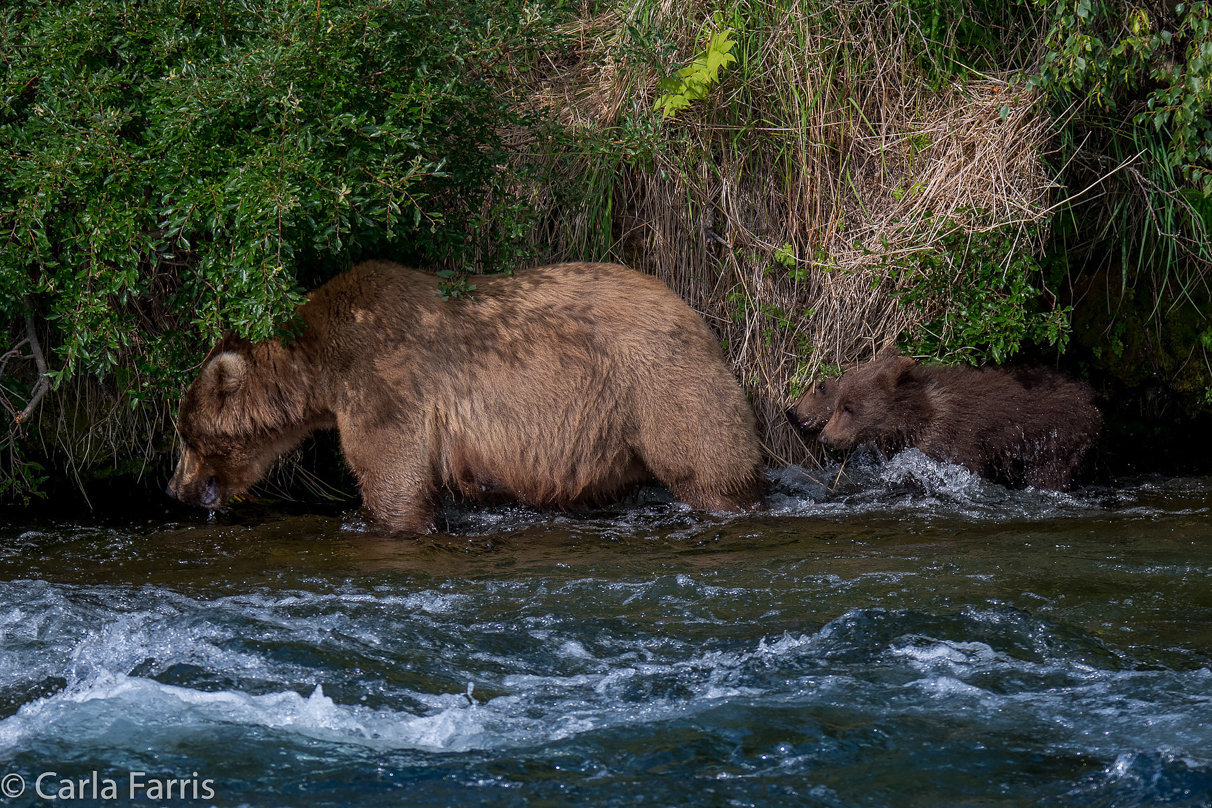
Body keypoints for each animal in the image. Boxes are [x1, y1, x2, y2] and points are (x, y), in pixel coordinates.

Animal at [166, 262, 761, 533]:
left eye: (186, 434)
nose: (176, 489)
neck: (321, 365)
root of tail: (694, 313)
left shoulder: (384, 381)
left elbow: (393, 478)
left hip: (656, 382)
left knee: (707, 463)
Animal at [809, 356, 1105, 494]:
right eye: (839, 404)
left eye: (848, 408)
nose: (825, 437)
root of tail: (1092, 403)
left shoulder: (955, 440)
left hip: (1056, 441)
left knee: (1049, 474)